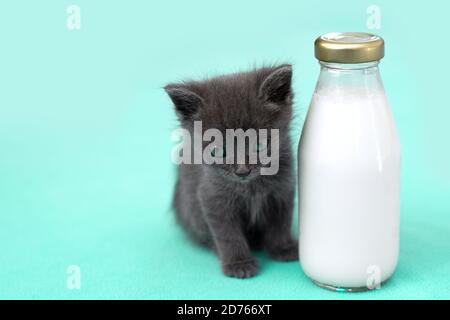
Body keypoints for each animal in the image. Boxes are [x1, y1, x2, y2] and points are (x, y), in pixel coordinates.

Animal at [163, 64, 298, 278]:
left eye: (259, 145)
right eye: (218, 151)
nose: (242, 171)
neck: (251, 187)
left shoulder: (283, 189)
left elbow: (281, 222)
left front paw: (283, 248)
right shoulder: (212, 198)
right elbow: (227, 233)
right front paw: (239, 263)